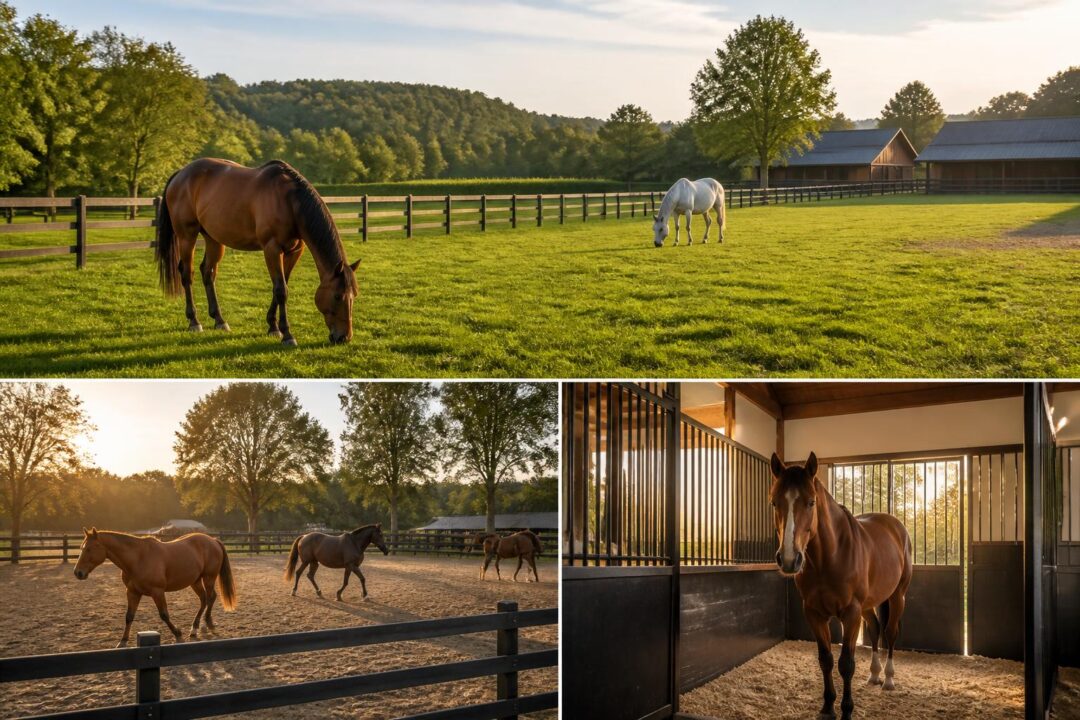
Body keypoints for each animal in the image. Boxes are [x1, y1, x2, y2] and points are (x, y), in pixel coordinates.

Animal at [73, 527, 237, 648]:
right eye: (81, 547)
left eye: (90, 548)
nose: (78, 572)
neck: (138, 558)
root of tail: (213, 540)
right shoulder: (132, 592)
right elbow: (129, 616)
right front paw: (123, 641)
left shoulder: (157, 592)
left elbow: (164, 615)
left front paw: (178, 635)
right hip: (195, 581)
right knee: (204, 600)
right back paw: (195, 628)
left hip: (208, 578)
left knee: (210, 598)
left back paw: (207, 625)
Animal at [155, 158, 361, 346]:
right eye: (337, 296)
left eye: (354, 295)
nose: (344, 337)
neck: (289, 201)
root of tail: (180, 174)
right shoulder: (272, 249)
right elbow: (281, 290)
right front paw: (287, 334)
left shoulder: (295, 251)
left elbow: (282, 285)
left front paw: (273, 326)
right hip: (187, 236)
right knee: (186, 274)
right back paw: (194, 321)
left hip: (213, 239)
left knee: (208, 272)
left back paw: (219, 320)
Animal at [769, 452, 912, 720]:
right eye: (774, 503)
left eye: (811, 502)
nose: (789, 559)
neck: (830, 555)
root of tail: (896, 526)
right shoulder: (814, 613)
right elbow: (825, 659)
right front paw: (827, 707)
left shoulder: (851, 613)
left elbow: (846, 664)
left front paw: (846, 710)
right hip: (868, 605)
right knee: (875, 629)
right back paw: (874, 675)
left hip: (897, 596)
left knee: (890, 632)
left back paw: (888, 679)